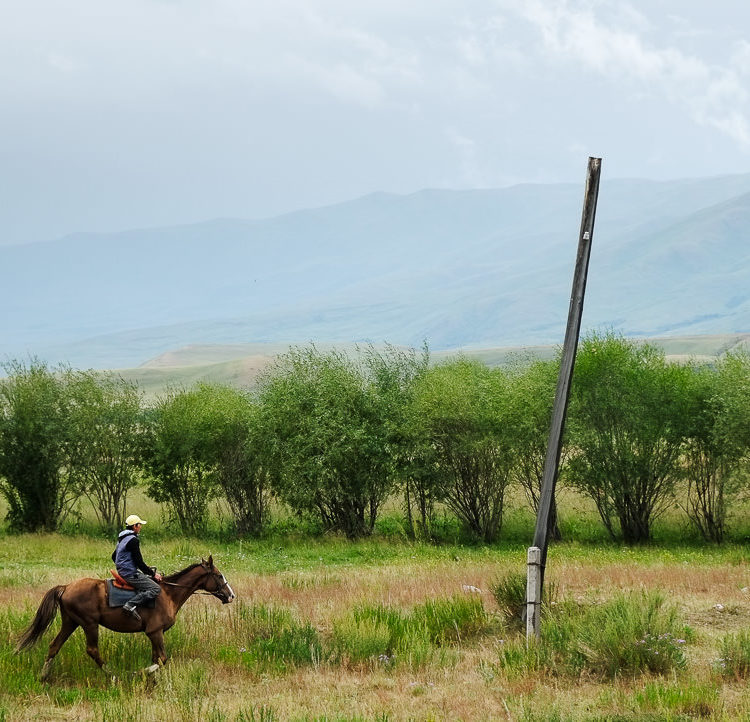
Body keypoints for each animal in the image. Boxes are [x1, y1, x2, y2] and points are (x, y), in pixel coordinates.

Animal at [16, 556, 235, 676]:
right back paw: (112, 674)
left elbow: (157, 658)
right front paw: (140, 673)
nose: (231, 595)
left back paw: (44, 676)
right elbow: (161, 659)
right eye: (219, 575)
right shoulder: (155, 632)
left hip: (70, 623)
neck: (168, 593)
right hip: (89, 624)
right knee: (92, 650)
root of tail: (66, 587)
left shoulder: (155, 634)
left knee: (54, 646)